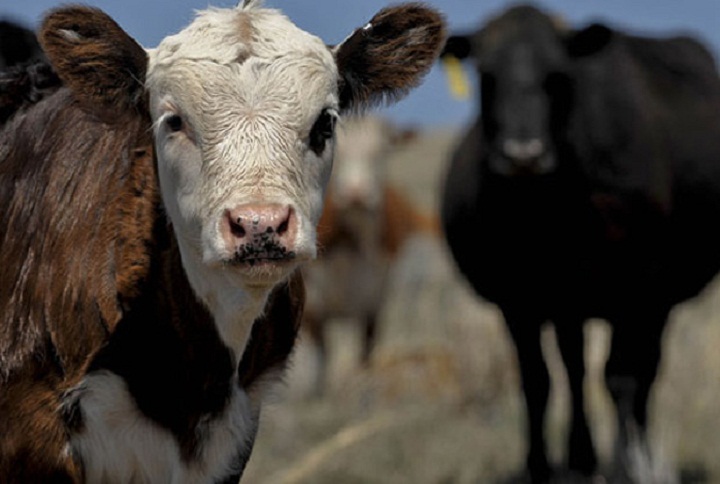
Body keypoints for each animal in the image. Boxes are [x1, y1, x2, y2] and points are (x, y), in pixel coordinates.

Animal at [302, 115, 438, 395]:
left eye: (381, 152)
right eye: (338, 150)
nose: (356, 194)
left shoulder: (374, 302)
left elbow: (365, 357)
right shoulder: (313, 306)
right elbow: (320, 358)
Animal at [440, 5, 720, 483]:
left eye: (557, 76)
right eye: (487, 75)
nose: (523, 154)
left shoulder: (635, 289)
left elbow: (620, 375)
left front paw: (624, 463)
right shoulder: (520, 300)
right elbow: (536, 379)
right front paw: (540, 465)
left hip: (654, 300)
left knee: (643, 371)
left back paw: (634, 453)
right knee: (574, 368)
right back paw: (581, 456)